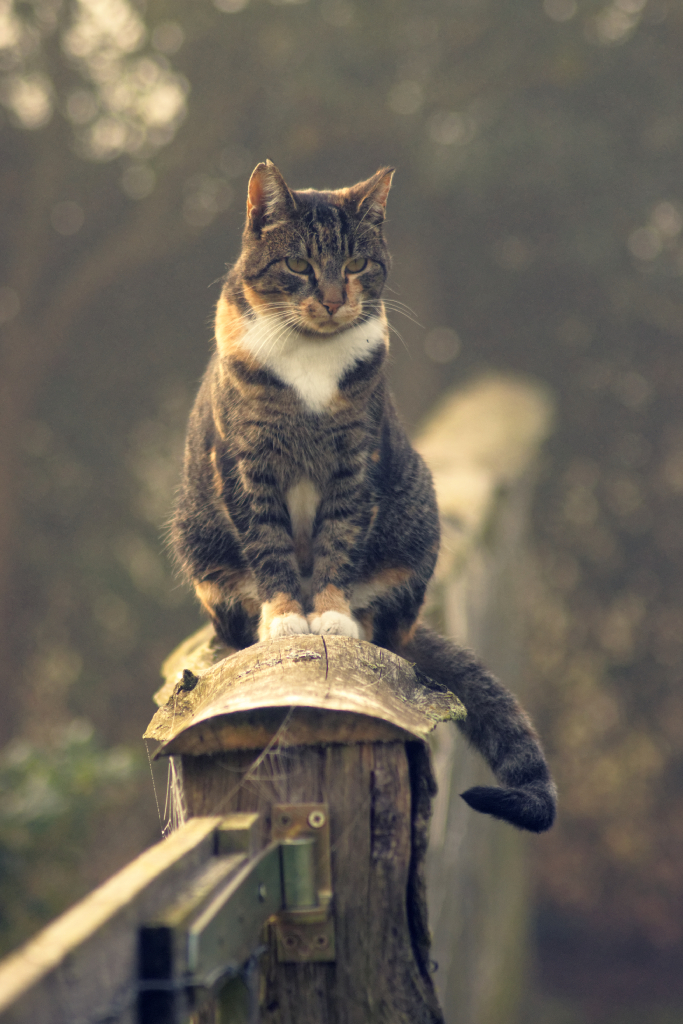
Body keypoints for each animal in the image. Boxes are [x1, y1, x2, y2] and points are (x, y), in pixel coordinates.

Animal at [171, 159, 557, 831]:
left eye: (355, 264)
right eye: (299, 264)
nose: (333, 299)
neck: (309, 358)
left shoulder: (354, 463)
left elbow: (338, 539)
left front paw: (326, 613)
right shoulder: (249, 466)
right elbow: (269, 545)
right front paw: (286, 618)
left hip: (415, 515)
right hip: (197, 535)